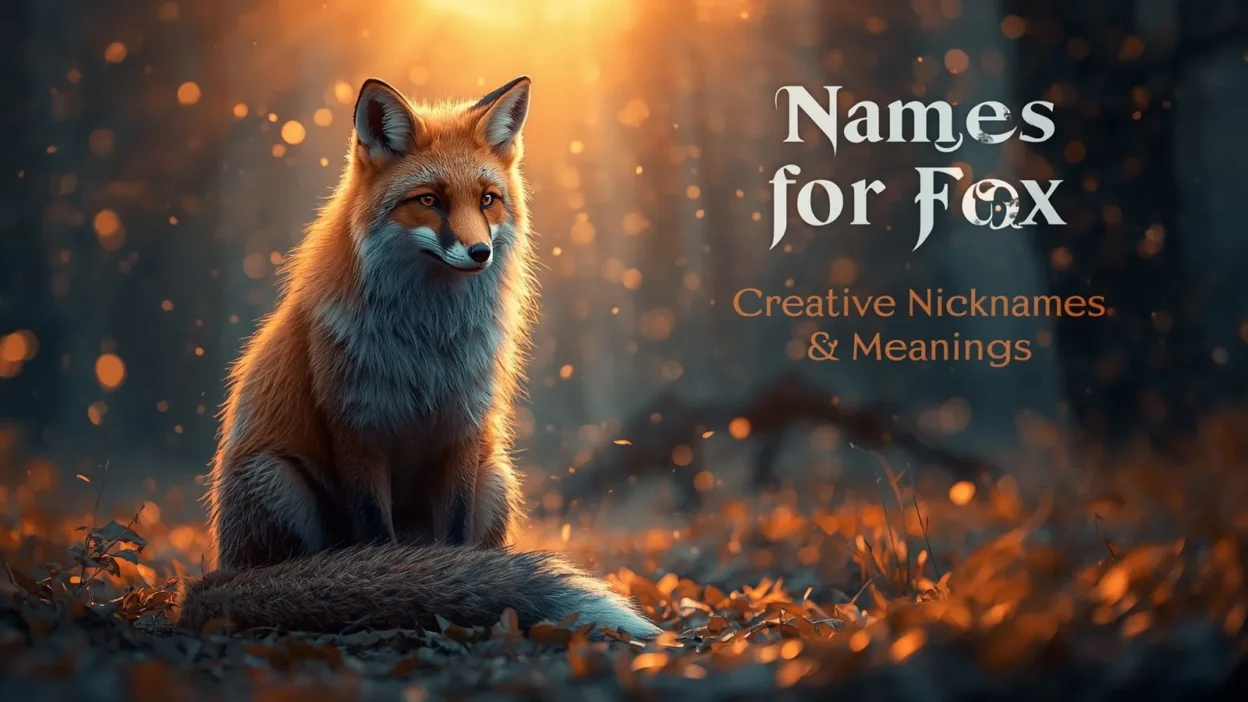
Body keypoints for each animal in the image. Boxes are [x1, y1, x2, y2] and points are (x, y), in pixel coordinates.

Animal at [174, 76, 660, 638]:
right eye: (429, 200)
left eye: (488, 200)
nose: (479, 253)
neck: (427, 343)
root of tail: (214, 574)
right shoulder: (358, 427)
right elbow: (375, 541)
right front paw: (391, 585)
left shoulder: (462, 427)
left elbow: (456, 541)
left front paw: (455, 588)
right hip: (274, 479)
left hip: (497, 479)